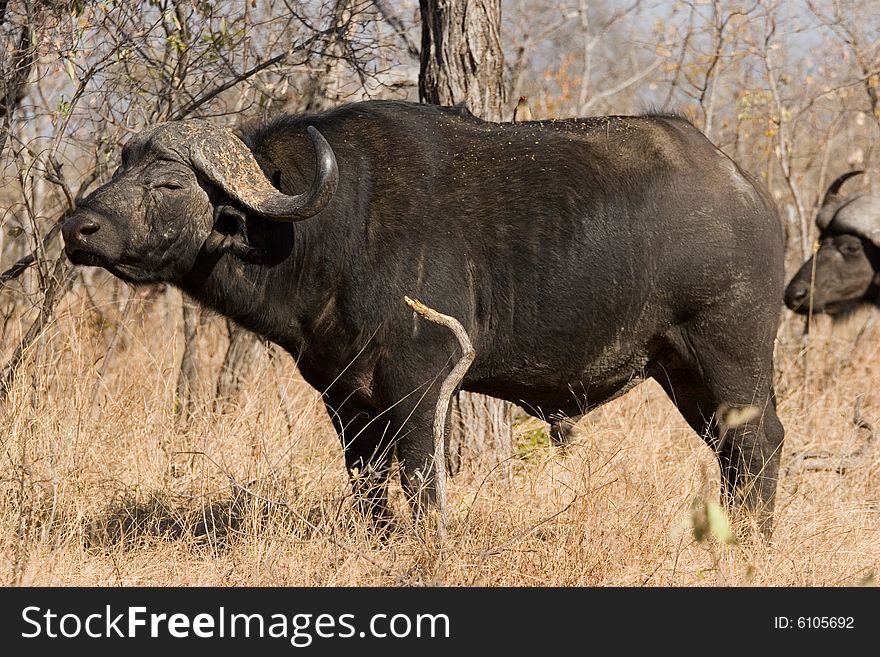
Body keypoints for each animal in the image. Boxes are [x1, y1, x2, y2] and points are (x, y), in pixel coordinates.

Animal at [65, 101, 788, 532]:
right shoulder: (344, 397)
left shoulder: (419, 382)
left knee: (758, 444)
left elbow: (415, 474)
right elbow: (365, 480)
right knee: (732, 451)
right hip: (680, 373)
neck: (331, 230)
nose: (78, 228)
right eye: (121, 168)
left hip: (729, 356)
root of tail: (749, 191)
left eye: (168, 183)